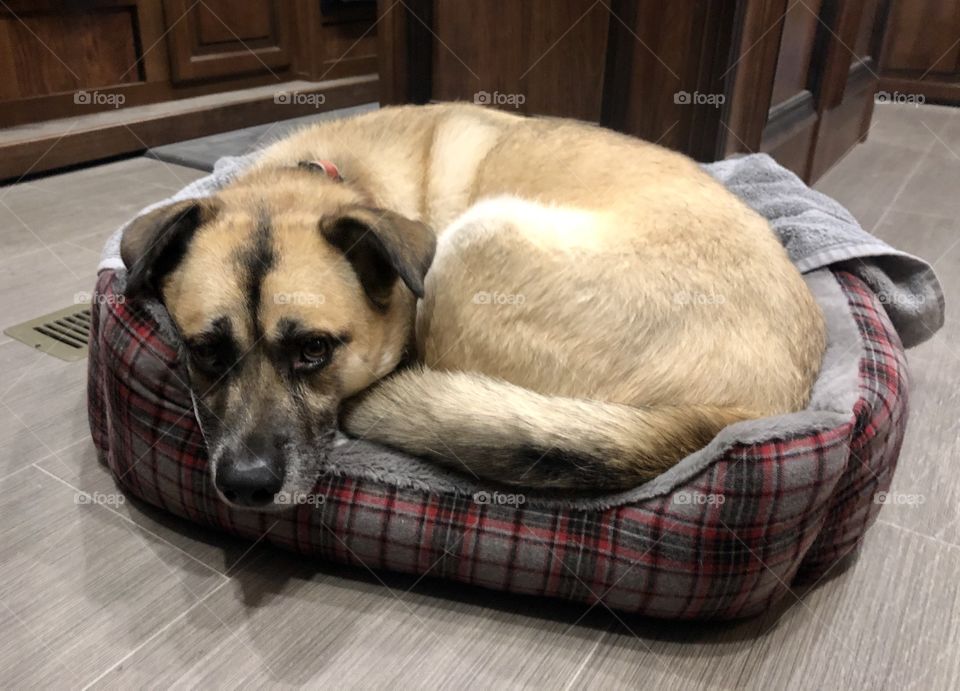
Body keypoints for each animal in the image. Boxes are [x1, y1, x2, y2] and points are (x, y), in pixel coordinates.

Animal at [120, 105, 824, 510]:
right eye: (205, 352)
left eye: (314, 350)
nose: (246, 486)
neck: (328, 177)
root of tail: (745, 411)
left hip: (476, 235)